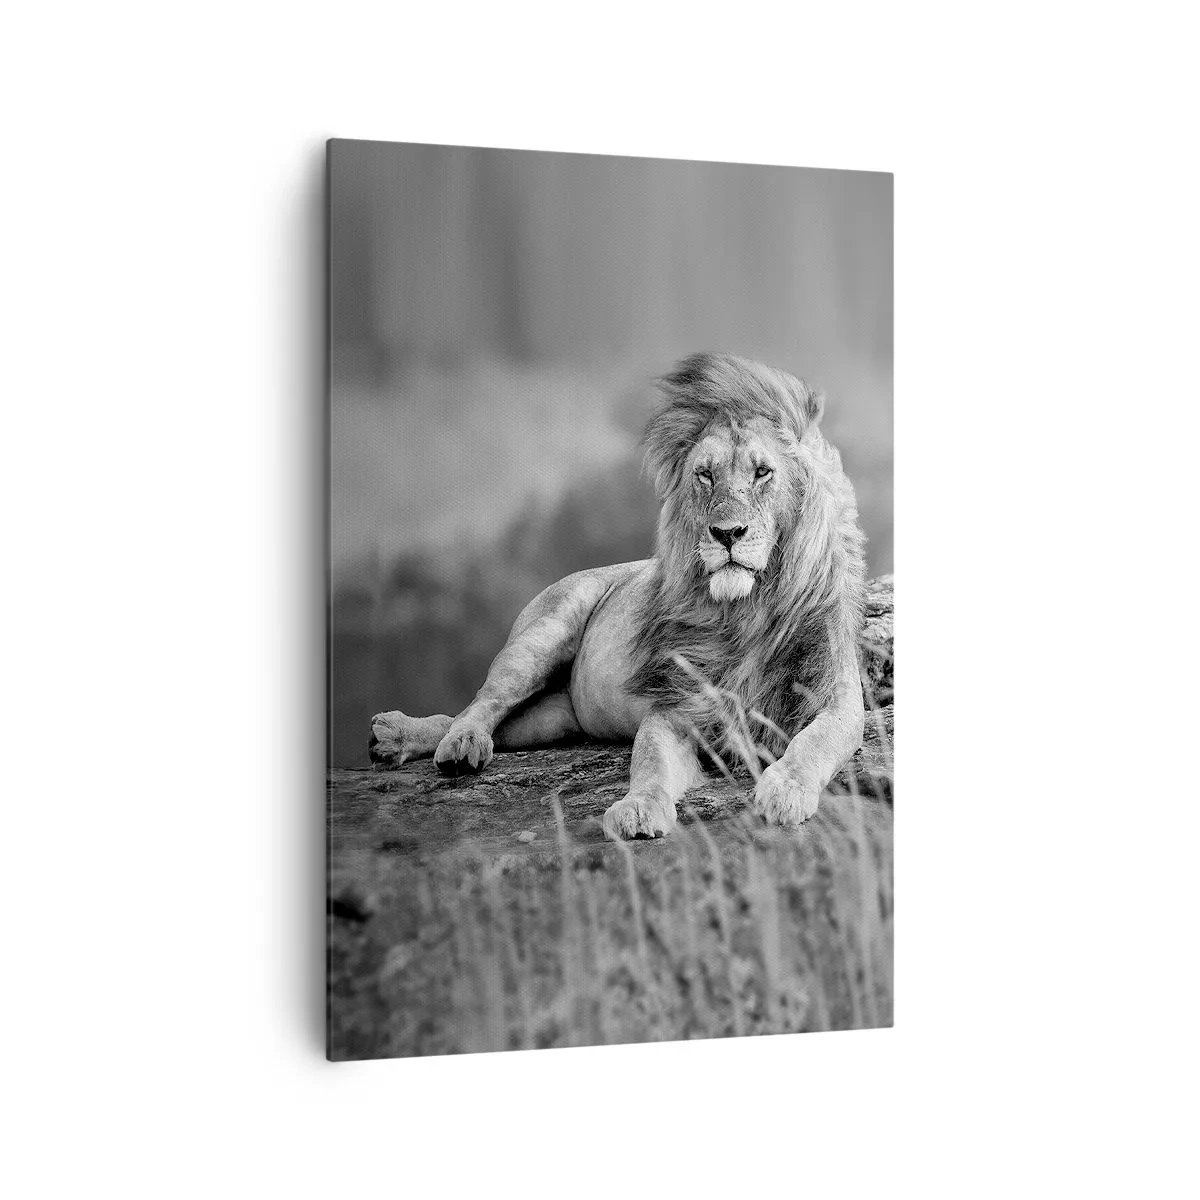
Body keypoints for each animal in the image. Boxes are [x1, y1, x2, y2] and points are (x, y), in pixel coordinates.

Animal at [369, 352, 867, 840]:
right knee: (480, 703)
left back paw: (396, 738)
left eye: (763, 472)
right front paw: (638, 809)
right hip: (542, 635)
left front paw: (784, 791)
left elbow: (813, 743)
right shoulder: (675, 705)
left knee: (488, 723)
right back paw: (446, 742)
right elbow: (649, 762)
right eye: (705, 476)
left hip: (553, 720)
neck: (747, 611)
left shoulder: (837, 697)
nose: (726, 533)